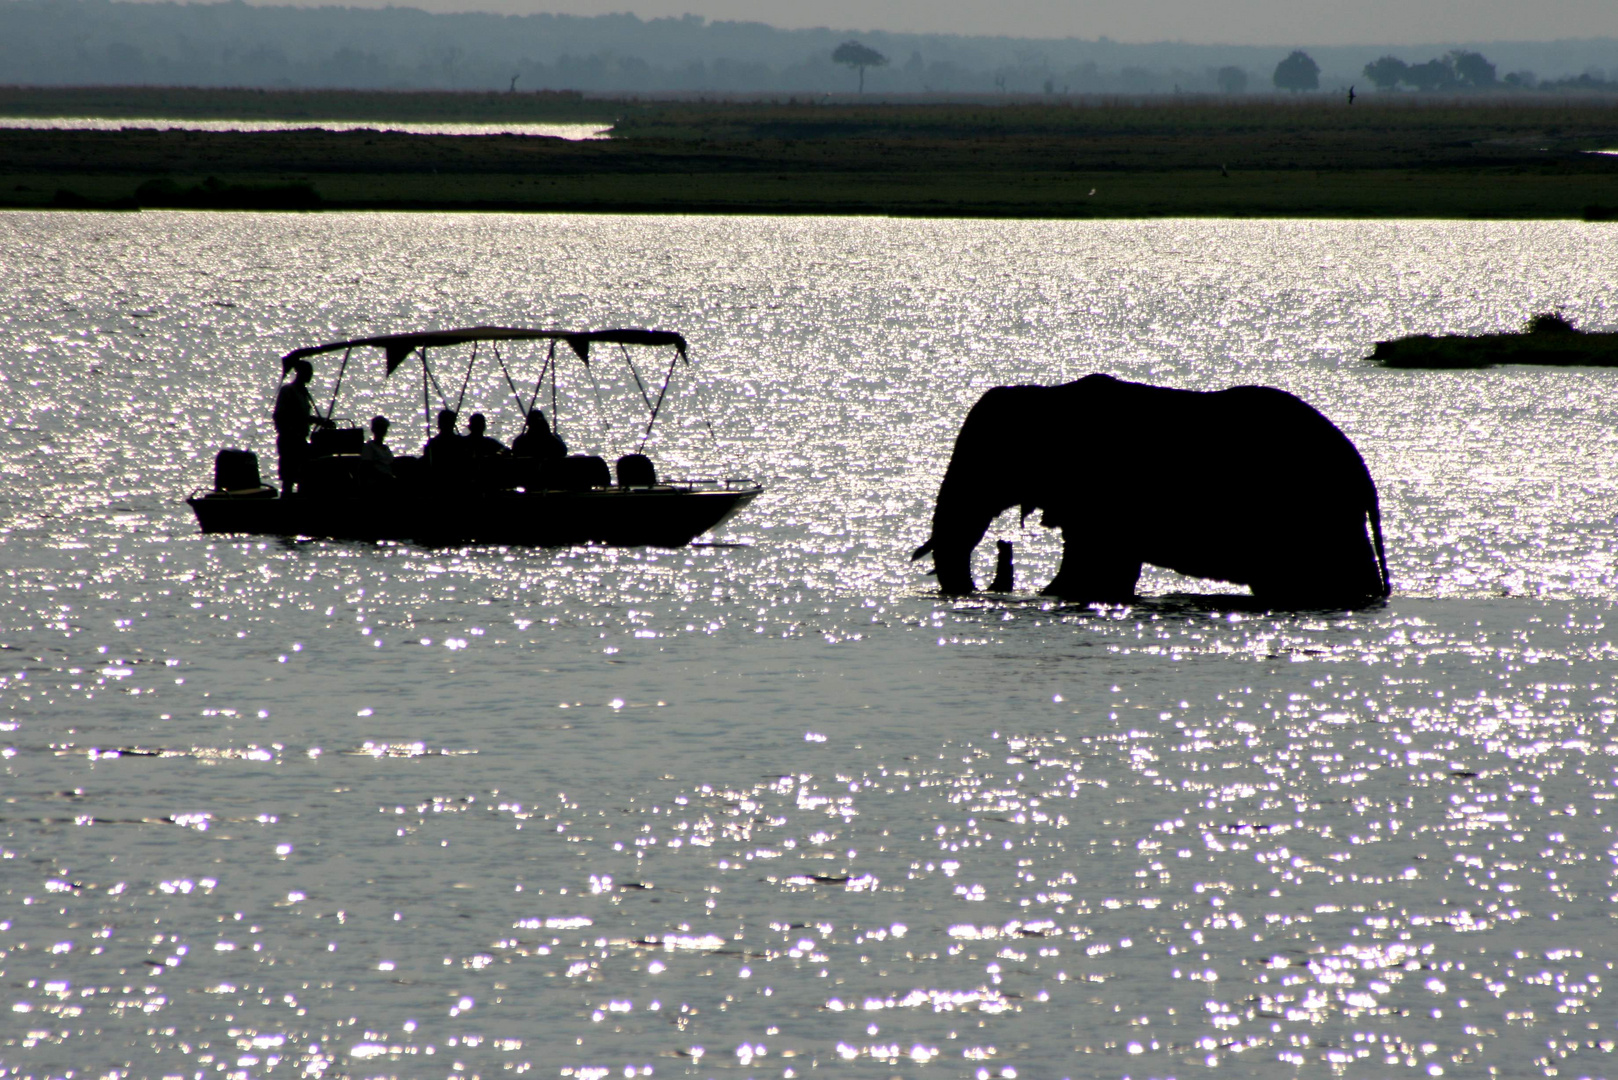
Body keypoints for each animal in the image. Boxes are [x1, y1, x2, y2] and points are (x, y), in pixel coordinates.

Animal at [912, 374, 1391, 608]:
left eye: (990, 459)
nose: (988, 586)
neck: (1048, 398)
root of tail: (1362, 474)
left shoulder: (1103, 486)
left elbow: (1094, 566)